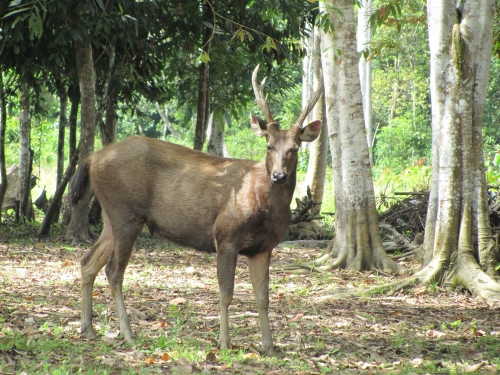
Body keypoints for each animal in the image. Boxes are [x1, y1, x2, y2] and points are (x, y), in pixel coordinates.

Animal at [70, 65, 322, 358]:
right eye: (268, 146)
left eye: (294, 148)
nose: (279, 176)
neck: (261, 204)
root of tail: (92, 159)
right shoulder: (225, 235)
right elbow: (226, 292)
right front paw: (224, 343)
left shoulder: (263, 247)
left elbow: (263, 298)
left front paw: (269, 348)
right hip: (126, 213)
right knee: (113, 270)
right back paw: (128, 334)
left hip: (111, 216)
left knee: (88, 262)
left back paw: (88, 329)